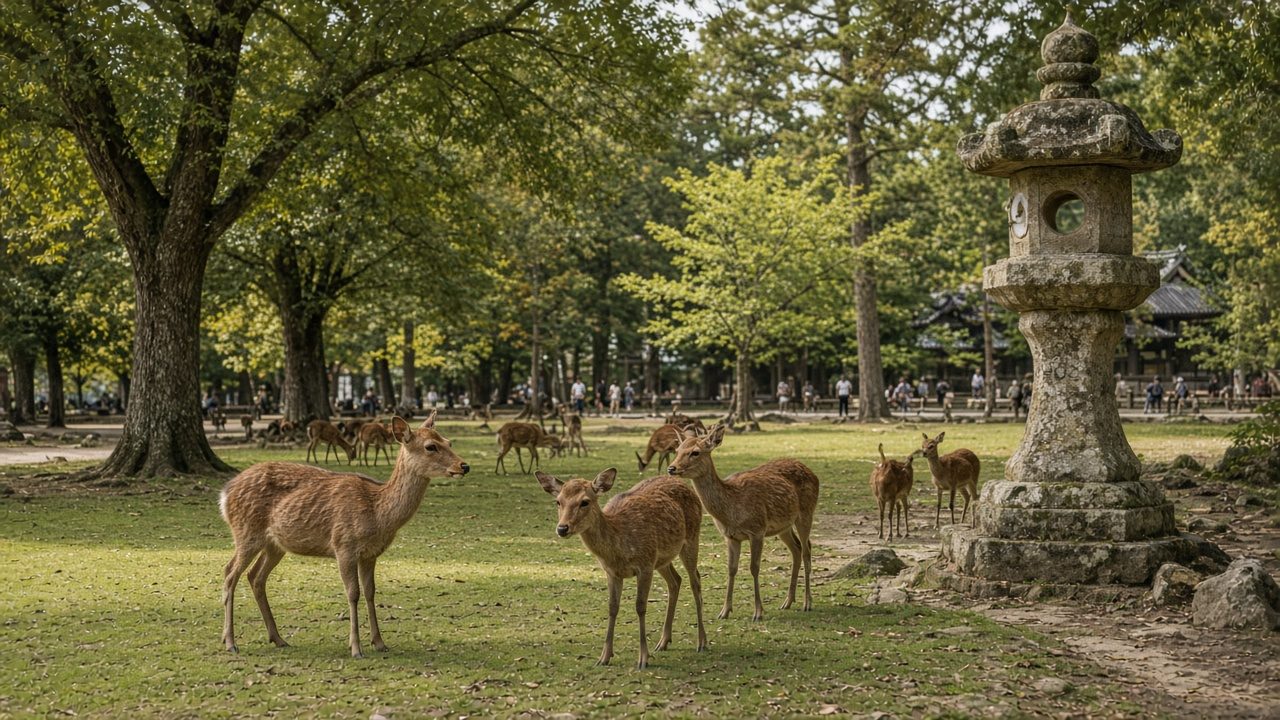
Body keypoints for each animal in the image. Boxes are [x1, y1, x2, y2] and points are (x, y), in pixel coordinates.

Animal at [220, 412, 468, 657]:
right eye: (430, 446)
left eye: (449, 442)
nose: (464, 466)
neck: (378, 514)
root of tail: (224, 494)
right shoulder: (344, 545)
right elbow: (353, 593)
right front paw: (356, 648)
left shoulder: (371, 554)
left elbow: (370, 592)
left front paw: (379, 642)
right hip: (246, 532)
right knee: (230, 572)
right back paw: (231, 642)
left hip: (274, 545)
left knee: (255, 576)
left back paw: (278, 638)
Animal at [536, 468, 706, 669]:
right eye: (558, 501)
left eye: (585, 501)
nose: (562, 528)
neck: (618, 550)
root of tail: (684, 484)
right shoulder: (612, 572)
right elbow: (612, 607)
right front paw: (604, 657)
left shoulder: (645, 564)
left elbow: (640, 606)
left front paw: (643, 658)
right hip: (662, 559)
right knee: (675, 581)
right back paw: (663, 641)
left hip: (691, 538)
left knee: (695, 581)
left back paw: (702, 642)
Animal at [667, 423, 819, 621]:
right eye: (677, 450)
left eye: (695, 452)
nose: (671, 468)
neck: (731, 511)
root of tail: (813, 473)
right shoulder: (730, 537)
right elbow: (731, 569)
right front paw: (724, 611)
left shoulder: (758, 530)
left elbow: (754, 568)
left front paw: (758, 612)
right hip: (783, 526)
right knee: (797, 549)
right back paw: (787, 601)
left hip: (806, 513)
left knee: (807, 549)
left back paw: (807, 603)